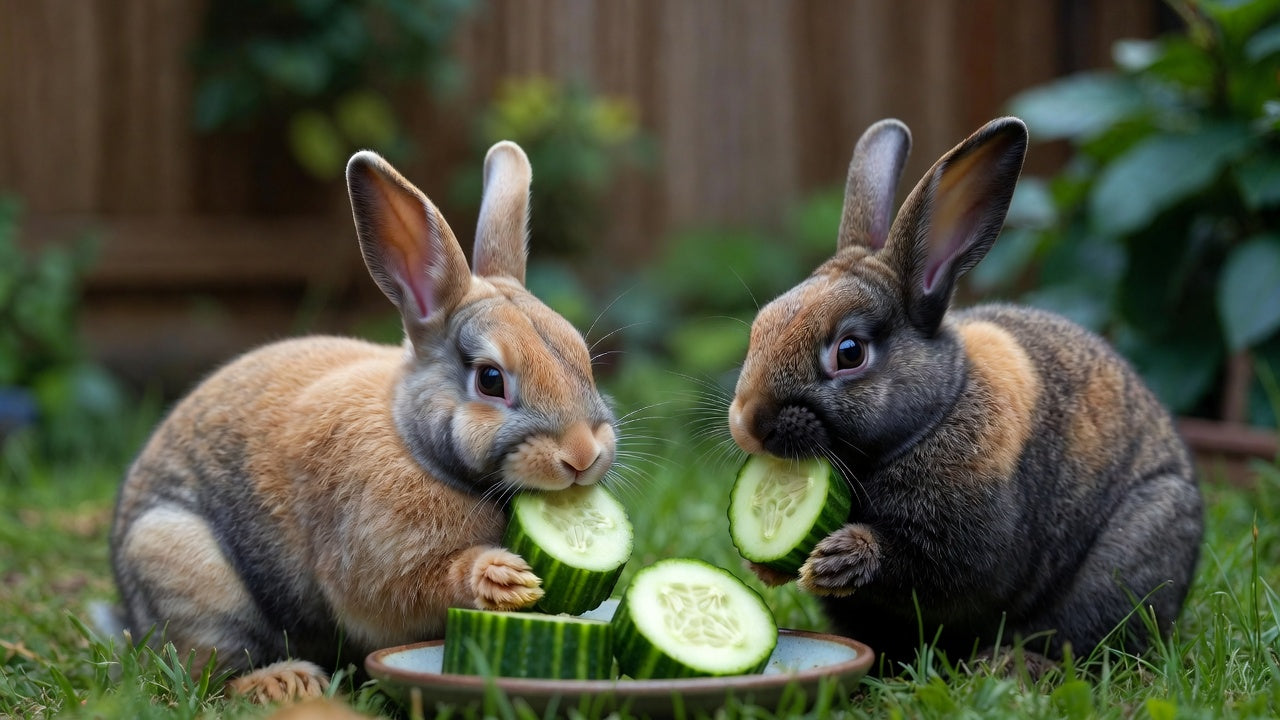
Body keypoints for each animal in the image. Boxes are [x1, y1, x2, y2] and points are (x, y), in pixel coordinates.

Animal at [108, 141, 617, 702]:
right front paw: (502, 578)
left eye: (581, 358)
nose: (583, 455)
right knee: (209, 671)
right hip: (183, 569)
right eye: (489, 380)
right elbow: (413, 589)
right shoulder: (377, 569)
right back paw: (285, 682)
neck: (416, 445)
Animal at [728, 117, 1203, 672]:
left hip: (1125, 563)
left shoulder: (962, 540)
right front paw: (765, 568)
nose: (747, 424)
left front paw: (841, 558)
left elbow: (926, 564)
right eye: (761, 325)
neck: (935, 412)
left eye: (849, 352)